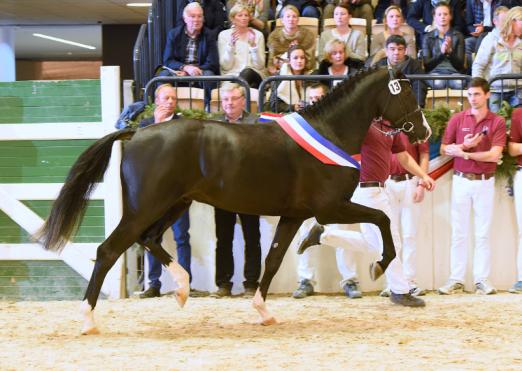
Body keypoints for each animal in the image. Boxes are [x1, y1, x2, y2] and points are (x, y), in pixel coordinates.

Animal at [35, 67, 426, 334]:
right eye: (406, 93)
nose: (424, 131)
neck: (330, 132)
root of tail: (136, 132)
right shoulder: (329, 208)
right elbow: (382, 220)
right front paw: (378, 266)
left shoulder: (294, 216)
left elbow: (273, 259)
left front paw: (263, 311)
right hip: (144, 208)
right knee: (108, 251)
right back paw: (88, 319)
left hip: (174, 203)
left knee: (148, 240)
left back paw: (182, 289)